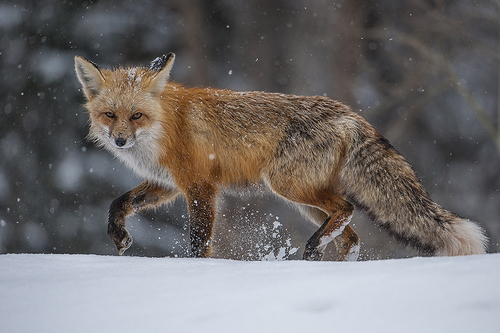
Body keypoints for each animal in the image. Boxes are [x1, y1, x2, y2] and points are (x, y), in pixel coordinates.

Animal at [75, 52, 488, 260]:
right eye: (109, 115)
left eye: (136, 116)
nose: (120, 141)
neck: (165, 127)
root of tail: (349, 113)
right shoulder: (168, 184)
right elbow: (118, 203)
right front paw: (118, 237)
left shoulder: (200, 186)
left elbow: (198, 243)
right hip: (305, 201)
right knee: (351, 236)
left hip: (289, 187)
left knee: (347, 210)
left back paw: (314, 249)